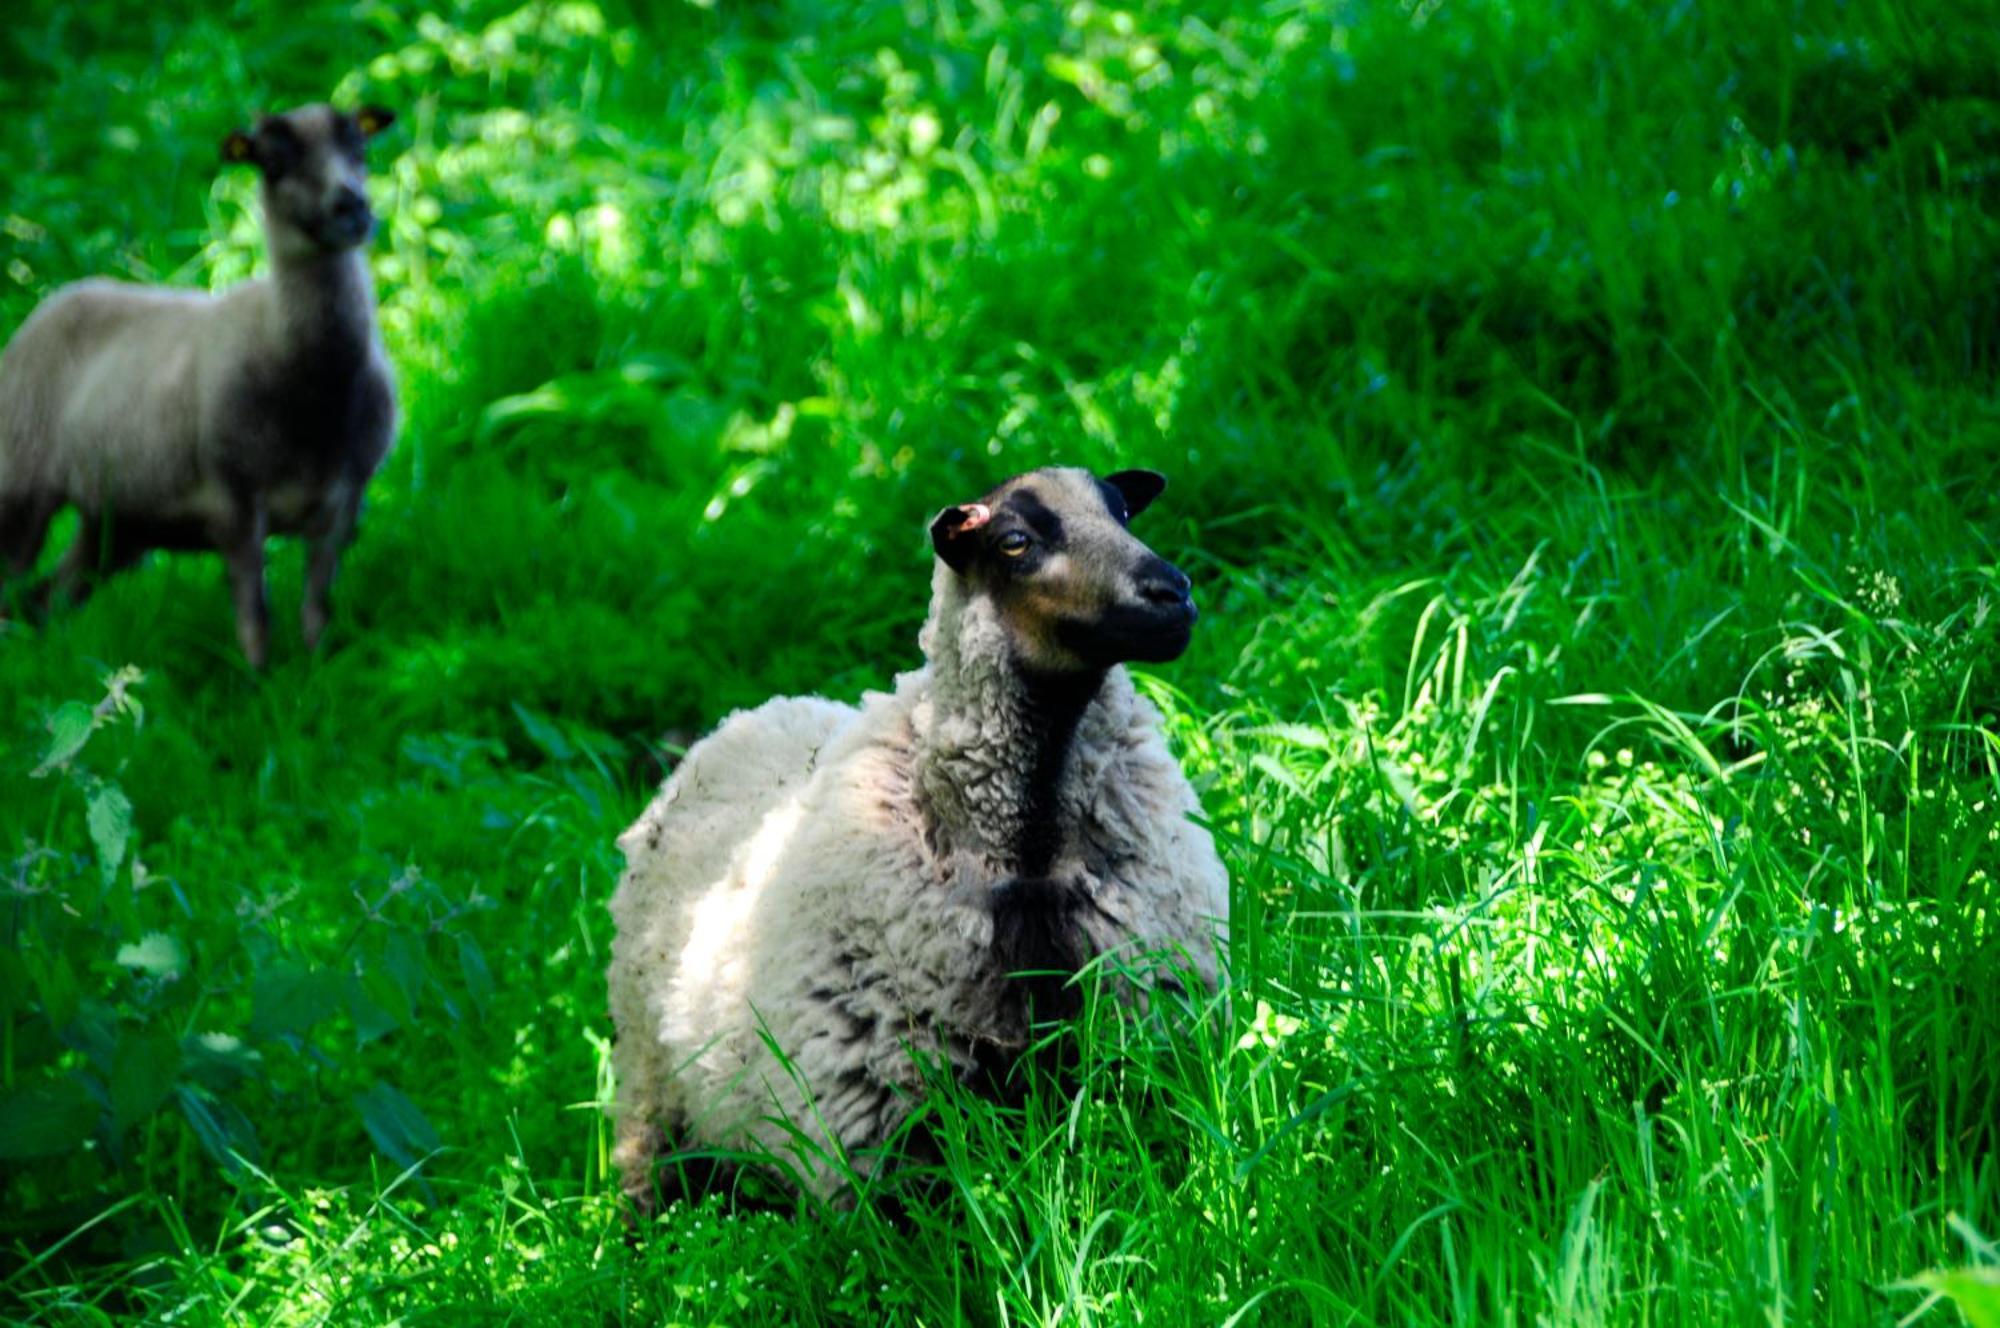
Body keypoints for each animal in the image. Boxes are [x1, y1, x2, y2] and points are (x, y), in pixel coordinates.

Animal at [0, 104, 402, 668]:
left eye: (359, 147)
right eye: (272, 162)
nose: (351, 207)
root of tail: (55, 298)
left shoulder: (345, 502)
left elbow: (317, 618)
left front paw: (316, 676)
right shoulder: (234, 502)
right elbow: (255, 624)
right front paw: (259, 685)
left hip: (118, 519)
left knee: (42, 600)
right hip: (19, 481)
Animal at [604, 464, 1232, 1200]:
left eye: (1124, 512)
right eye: (1014, 541)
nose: (1173, 593)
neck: (1028, 858)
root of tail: (744, 718)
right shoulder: (884, 1134)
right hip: (651, 1093)